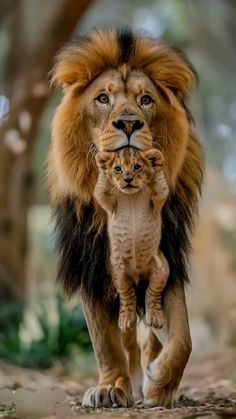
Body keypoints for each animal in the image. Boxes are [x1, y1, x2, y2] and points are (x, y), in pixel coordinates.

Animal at [48, 27, 205, 408]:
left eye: (146, 99)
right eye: (103, 99)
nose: (129, 123)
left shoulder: (166, 258)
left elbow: (183, 338)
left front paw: (161, 384)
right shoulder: (92, 263)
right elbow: (105, 341)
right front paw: (112, 387)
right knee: (127, 333)